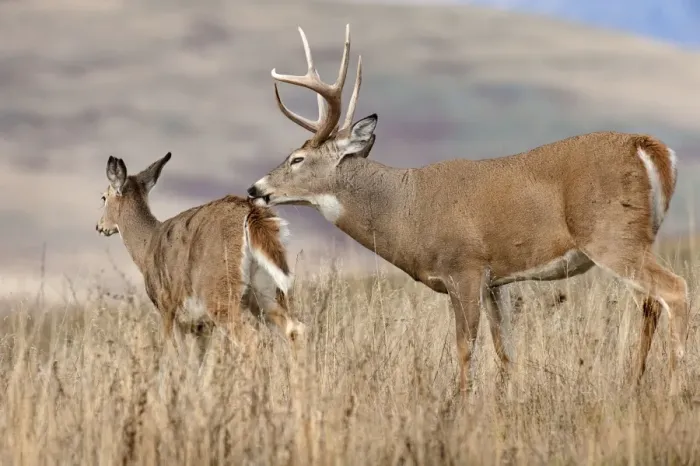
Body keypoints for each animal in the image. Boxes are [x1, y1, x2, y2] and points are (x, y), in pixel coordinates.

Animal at [95, 152, 305, 357]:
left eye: (103, 197)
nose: (99, 226)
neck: (147, 244)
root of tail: (251, 212)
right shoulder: (200, 326)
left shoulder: (167, 308)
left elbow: (175, 354)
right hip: (266, 291)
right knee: (294, 329)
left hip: (220, 294)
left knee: (251, 338)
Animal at [247, 24, 690, 396]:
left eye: (297, 159)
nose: (255, 189)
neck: (406, 207)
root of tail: (649, 147)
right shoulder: (496, 280)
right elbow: (505, 349)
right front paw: (508, 402)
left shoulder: (464, 267)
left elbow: (465, 346)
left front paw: (460, 404)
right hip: (634, 239)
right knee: (650, 303)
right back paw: (635, 383)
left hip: (611, 234)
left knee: (675, 290)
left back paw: (673, 389)